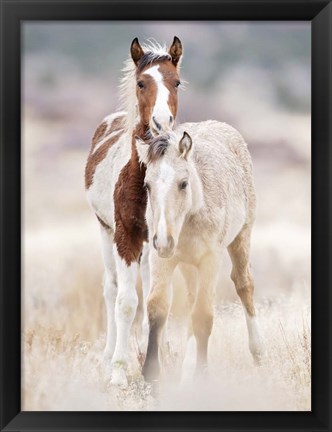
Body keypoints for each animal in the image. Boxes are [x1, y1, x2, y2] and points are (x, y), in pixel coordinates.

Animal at [85, 35, 184, 384]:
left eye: (176, 82)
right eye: (142, 83)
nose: (161, 123)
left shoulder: (161, 241)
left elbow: (158, 301)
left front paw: (159, 364)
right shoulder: (125, 236)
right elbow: (125, 302)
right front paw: (118, 372)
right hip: (105, 233)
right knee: (110, 289)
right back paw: (108, 357)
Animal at [135, 120, 264, 384]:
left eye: (183, 183)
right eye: (147, 185)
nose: (163, 240)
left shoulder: (210, 260)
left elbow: (203, 315)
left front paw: (201, 377)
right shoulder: (162, 259)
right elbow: (157, 308)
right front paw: (151, 376)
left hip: (241, 237)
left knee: (244, 284)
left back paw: (258, 352)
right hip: (187, 266)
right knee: (192, 299)